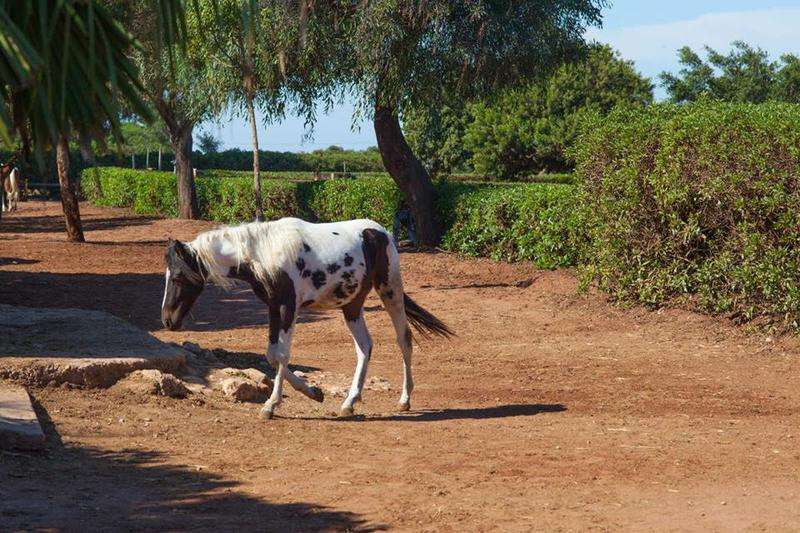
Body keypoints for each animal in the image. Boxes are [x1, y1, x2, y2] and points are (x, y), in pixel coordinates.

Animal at [159, 214, 454, 418]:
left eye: (177, 277)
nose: (167, 320)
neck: (264, 252)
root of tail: (381, 232)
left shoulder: (289, 307)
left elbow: (282, 355)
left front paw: (271, 405)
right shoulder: (272, 306)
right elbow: (272, 355)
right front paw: (314, 392)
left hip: (390, 290)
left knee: (403, 339)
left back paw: (404, 400)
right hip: (352, 306)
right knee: (365, 347)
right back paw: (349, 402)